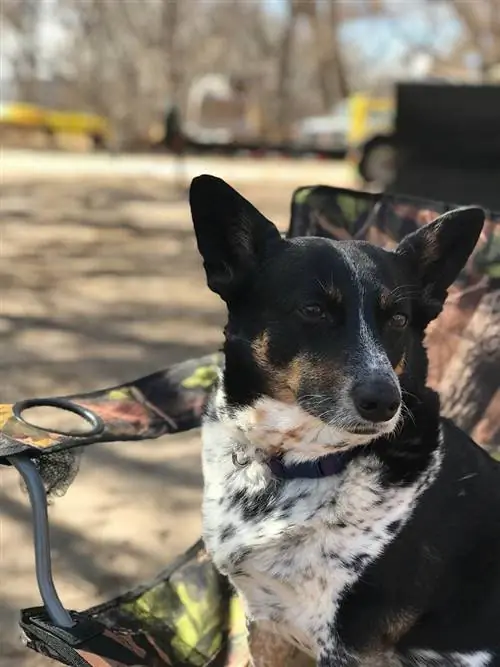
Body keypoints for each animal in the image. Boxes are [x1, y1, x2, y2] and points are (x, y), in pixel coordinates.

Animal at [188, 176, 500, 667]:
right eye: (313, 310)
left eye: (398, 318)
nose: (385, 402)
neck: (295, 466)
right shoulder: (269, 622)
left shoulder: (353, 647)